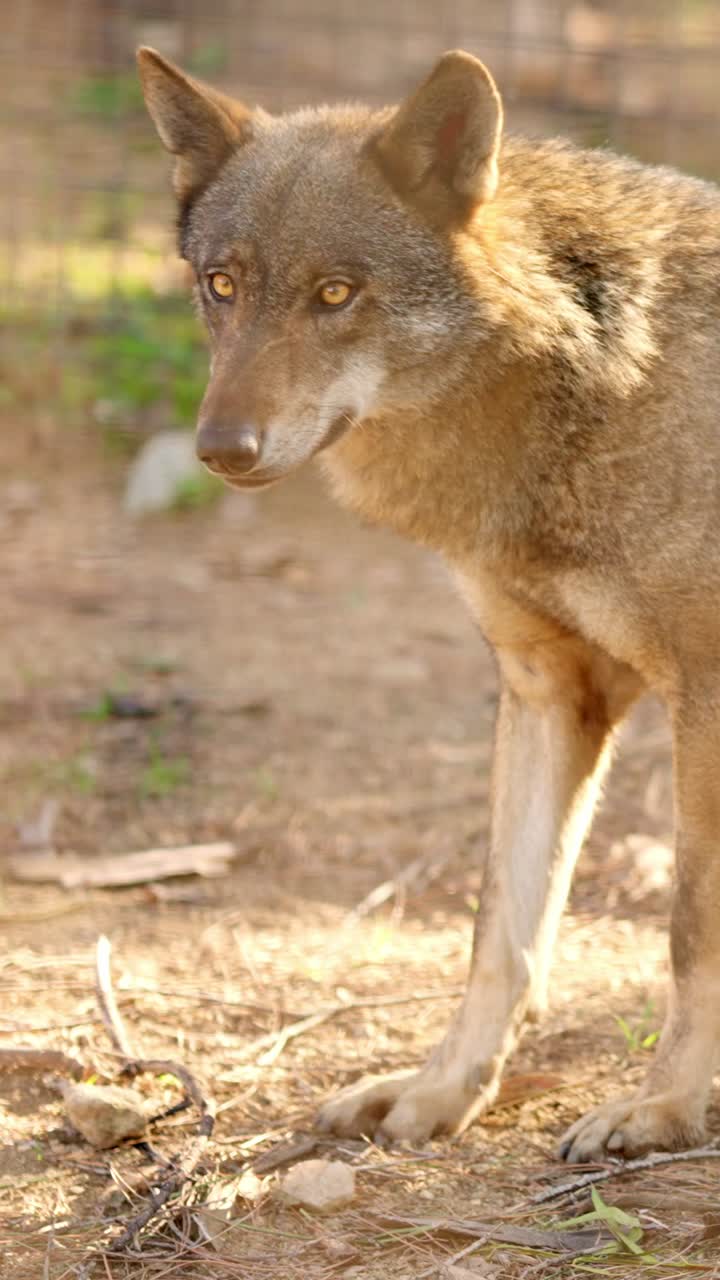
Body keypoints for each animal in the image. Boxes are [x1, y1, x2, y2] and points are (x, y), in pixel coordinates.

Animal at [138, 46, 720, 1163]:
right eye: (223, 284)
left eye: (335, 293)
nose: (221, 448)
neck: (606, 380)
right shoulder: (551, 690)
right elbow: (501, 932)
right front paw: (443, 1089)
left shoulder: (705, 700)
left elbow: (687, 928)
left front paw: (664, 1107)